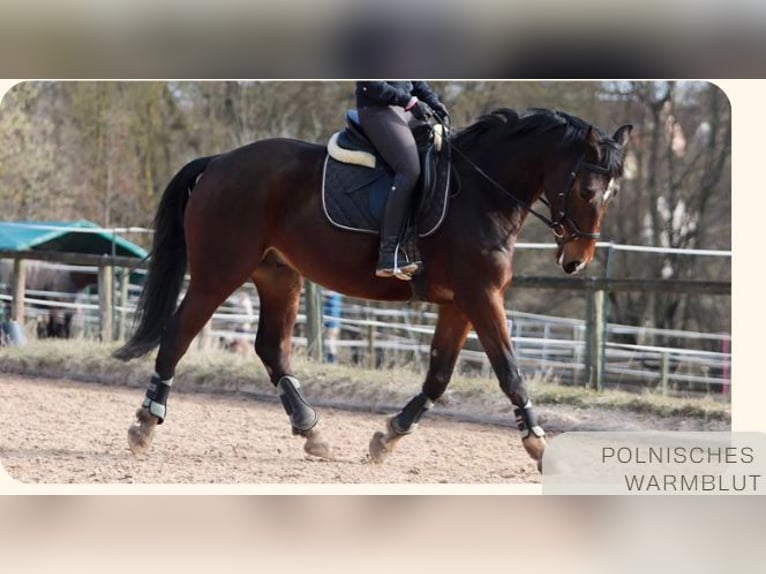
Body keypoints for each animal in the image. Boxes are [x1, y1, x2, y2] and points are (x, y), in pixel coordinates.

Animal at [112, 108, 632, 472]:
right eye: (587, 191)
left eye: (613, 194)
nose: (576, 260)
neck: (483, 193)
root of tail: (219, 161)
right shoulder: (482, 296)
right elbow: (510, 372)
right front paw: (537, 442)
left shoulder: (461, 304)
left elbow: (438, 377)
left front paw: (388, 437)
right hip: (219, 273)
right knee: (178, 334)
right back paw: (145, 422)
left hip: (279, 276)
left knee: (271, 349)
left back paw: (311, 431)